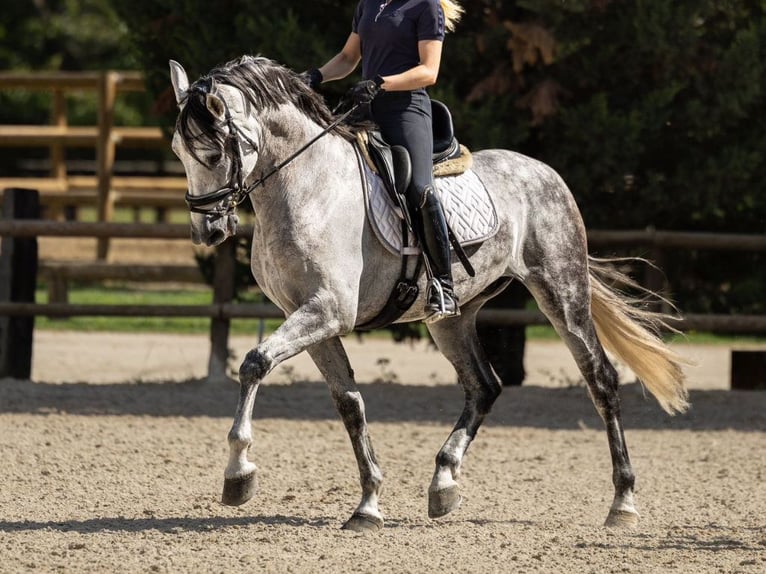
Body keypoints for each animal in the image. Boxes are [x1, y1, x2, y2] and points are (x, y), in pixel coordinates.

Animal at [168, 56, 688, 532]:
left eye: (212, 153)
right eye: (178, 150)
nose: (207, 231)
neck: (307, 189)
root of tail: (543, 171)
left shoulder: (327, 311)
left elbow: (255, 362)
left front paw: (239, 473)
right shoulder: (312, 317)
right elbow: (349, 403)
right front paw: (368, 504)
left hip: (560, 291)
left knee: (600, 379)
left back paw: (622, 503)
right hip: (453, 318)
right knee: (484, 386)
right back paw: (444, 482)